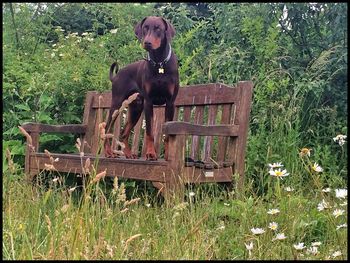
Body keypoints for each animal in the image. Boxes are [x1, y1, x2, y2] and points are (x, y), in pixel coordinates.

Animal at [104, 17, 179, 161]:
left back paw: (128, 154)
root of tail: (116, 76)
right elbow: (149, 132)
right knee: (107, 129)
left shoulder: (170, 103)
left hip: (136, 108)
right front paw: (150, 154)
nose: (147, 42)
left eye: (158, 28)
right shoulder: (148, 102)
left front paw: (168, 154)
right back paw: (109, 152)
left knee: (123, 133)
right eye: (145, 27)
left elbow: (168, 133)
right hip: (117, 104)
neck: (159, 64)